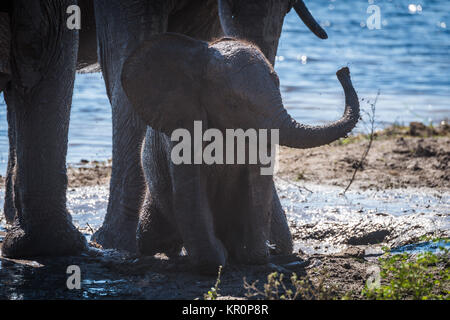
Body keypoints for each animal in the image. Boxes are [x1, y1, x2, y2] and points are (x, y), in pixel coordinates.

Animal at [121, 32, 360, 274]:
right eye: (232, 103)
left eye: (278, 83)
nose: (343, 70)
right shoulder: (182, 131)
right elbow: (191, 191)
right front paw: (218, 259)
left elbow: (257, 185)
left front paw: (253, 257)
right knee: (148, 240)